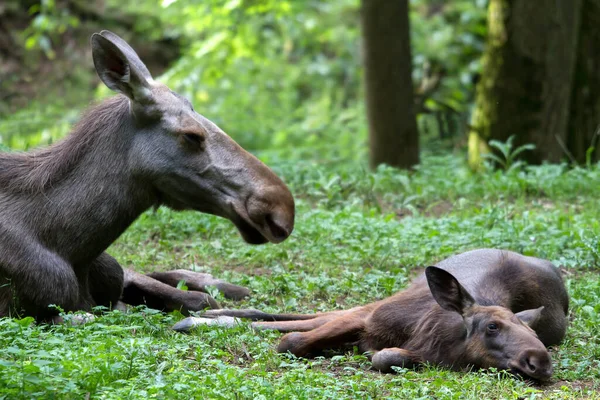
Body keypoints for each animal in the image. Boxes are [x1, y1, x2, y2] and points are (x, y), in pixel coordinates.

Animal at [176, 247, 568, 382]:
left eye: (535, 334)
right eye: (492, 326)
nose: (539, 362)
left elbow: (386, 356)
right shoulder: (369, 317)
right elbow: (292, 340)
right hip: (373, 304)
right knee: (300, 317)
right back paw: (195, 317)